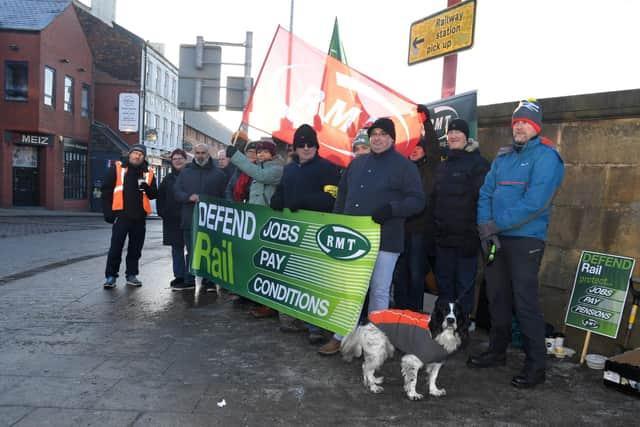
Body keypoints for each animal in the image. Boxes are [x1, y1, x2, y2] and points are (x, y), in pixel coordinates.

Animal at [340, 302, 470, 400]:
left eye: (457, 313)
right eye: (444, 311)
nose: (451, 320)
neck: (441, 334)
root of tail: (366, 318)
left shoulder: (437, 362)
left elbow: (433, 377)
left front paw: (434, 391)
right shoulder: (411, 360)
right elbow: (413, 379)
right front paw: (413, 394)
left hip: (379, 351)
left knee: (367, 366)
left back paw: (373, 381)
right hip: (378, 351)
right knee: (366, 367)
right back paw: (373, 387)